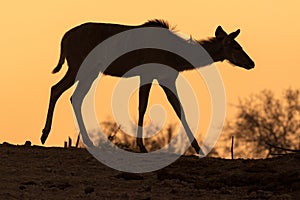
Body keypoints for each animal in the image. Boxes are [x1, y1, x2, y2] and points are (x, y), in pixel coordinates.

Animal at [41, 19, 254, 153]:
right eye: (236, 46)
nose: (251, 63)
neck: (177, 58)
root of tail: (65, 38)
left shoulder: (166, 79)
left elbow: (179, 110)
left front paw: (198, 148)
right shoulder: (149, 74)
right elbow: (142, 107)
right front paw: (142, 146)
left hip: (90, 71)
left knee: (74, 96)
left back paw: (88, 142)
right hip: (78, 66)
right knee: (57, 89)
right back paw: (44, 135)